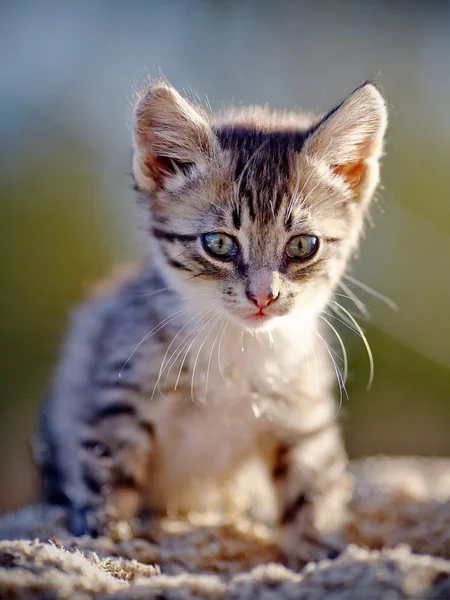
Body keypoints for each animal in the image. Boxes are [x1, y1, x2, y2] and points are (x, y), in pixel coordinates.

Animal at [34, 78, 386, 564]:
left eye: (302, 245)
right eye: (218, 243)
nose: (263, 295)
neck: (238, 348)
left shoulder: (302, 415)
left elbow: (313, 490)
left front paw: (319, 555)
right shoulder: (118, 396)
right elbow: (107, 482)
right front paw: (104, 543)